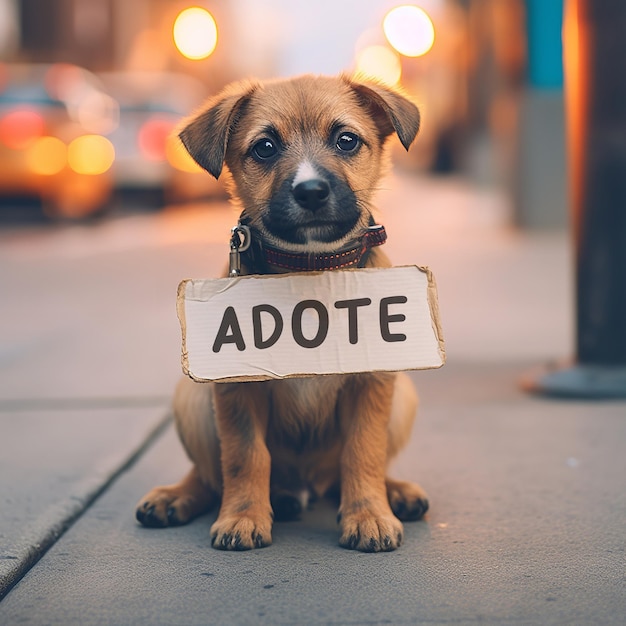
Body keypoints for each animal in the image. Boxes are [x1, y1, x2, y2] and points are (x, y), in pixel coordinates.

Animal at [135, 74, 428, 552]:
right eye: (265, 148)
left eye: (347, 140)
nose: (311, 191)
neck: (309, 271)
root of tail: (307, 485)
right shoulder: (236, 388)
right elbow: (244, 456)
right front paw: (242, 517)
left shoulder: (371, 383)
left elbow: (363, 451)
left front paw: (369, 514)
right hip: (191, 399)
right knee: (209, 473)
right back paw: (179, 496)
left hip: (403, 396)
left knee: (356, 469)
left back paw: (395, 491)